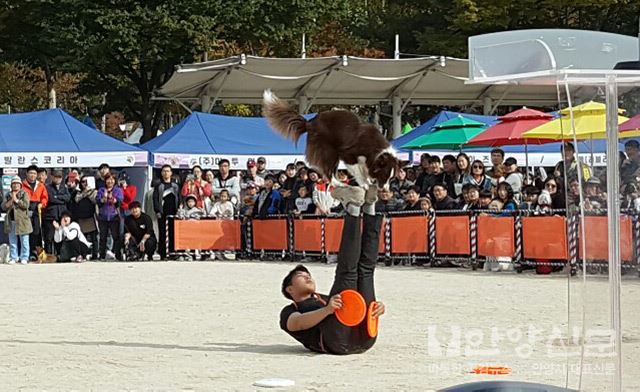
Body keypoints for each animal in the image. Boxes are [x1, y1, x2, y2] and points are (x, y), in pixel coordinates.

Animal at [262, 89, 398, 189]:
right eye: (384, 174)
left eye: (391, 178)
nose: (385, 190)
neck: (376, 149)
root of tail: (309, 122)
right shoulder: (348, 153)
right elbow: (358, 170)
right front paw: (364, 183)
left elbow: (364, 170)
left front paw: (368, 181)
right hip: (329, 150)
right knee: (329, 172)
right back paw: (339, 184)